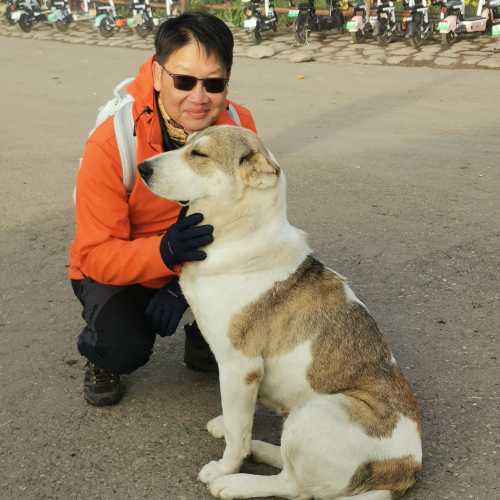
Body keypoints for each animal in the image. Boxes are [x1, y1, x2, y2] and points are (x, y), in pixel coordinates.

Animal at [140, 126, 422, 500]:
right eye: (185, 144)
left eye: (199, 154)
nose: (142, 168)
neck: (239, 232)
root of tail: (406, 469)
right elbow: (238, 423)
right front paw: (231, 430)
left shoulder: (240, 367)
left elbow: (237, 432)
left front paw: (225, 467)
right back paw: (255, 447)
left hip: (314, 414)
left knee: (293, 486)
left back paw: (234, 482)